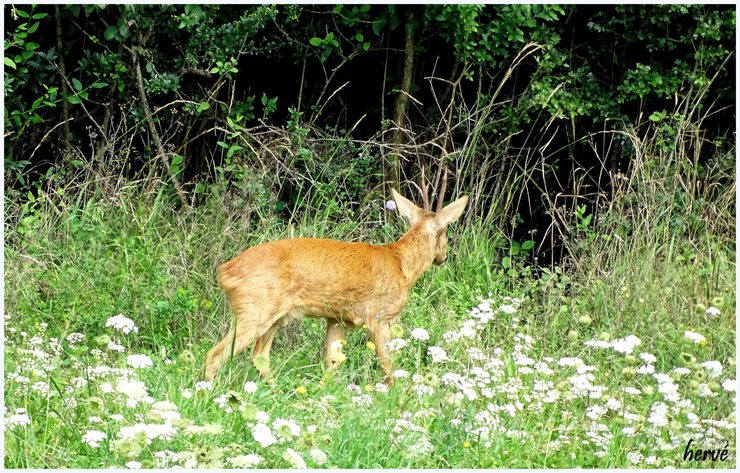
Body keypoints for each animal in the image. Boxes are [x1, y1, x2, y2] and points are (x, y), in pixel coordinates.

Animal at [202, 188, 468, 384]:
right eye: (447, 231)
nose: (443, 256)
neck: (402, 266)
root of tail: (225, 272)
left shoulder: (338, 319)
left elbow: (333, 362)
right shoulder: (380, 315)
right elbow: (387, 363)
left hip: (273, 317)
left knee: (259, 357)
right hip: (255, 309)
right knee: (215, 355)